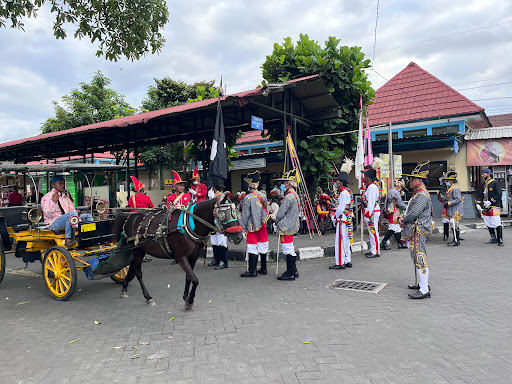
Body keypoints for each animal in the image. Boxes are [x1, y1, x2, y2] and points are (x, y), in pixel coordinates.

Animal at [113, 195, 244, 308]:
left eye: (236, 212)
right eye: (223, 214)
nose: (239, 237)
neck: (188, 224)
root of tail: (130, 215)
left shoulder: (193, 257)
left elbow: (189, 277)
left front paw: (186, 297)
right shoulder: (181, 257)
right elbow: (195, 280)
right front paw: (190, 300)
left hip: (140, 250)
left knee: (132, 268)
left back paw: (124, 288)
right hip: (137, 251)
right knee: (138, 273)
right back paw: (148, 297)